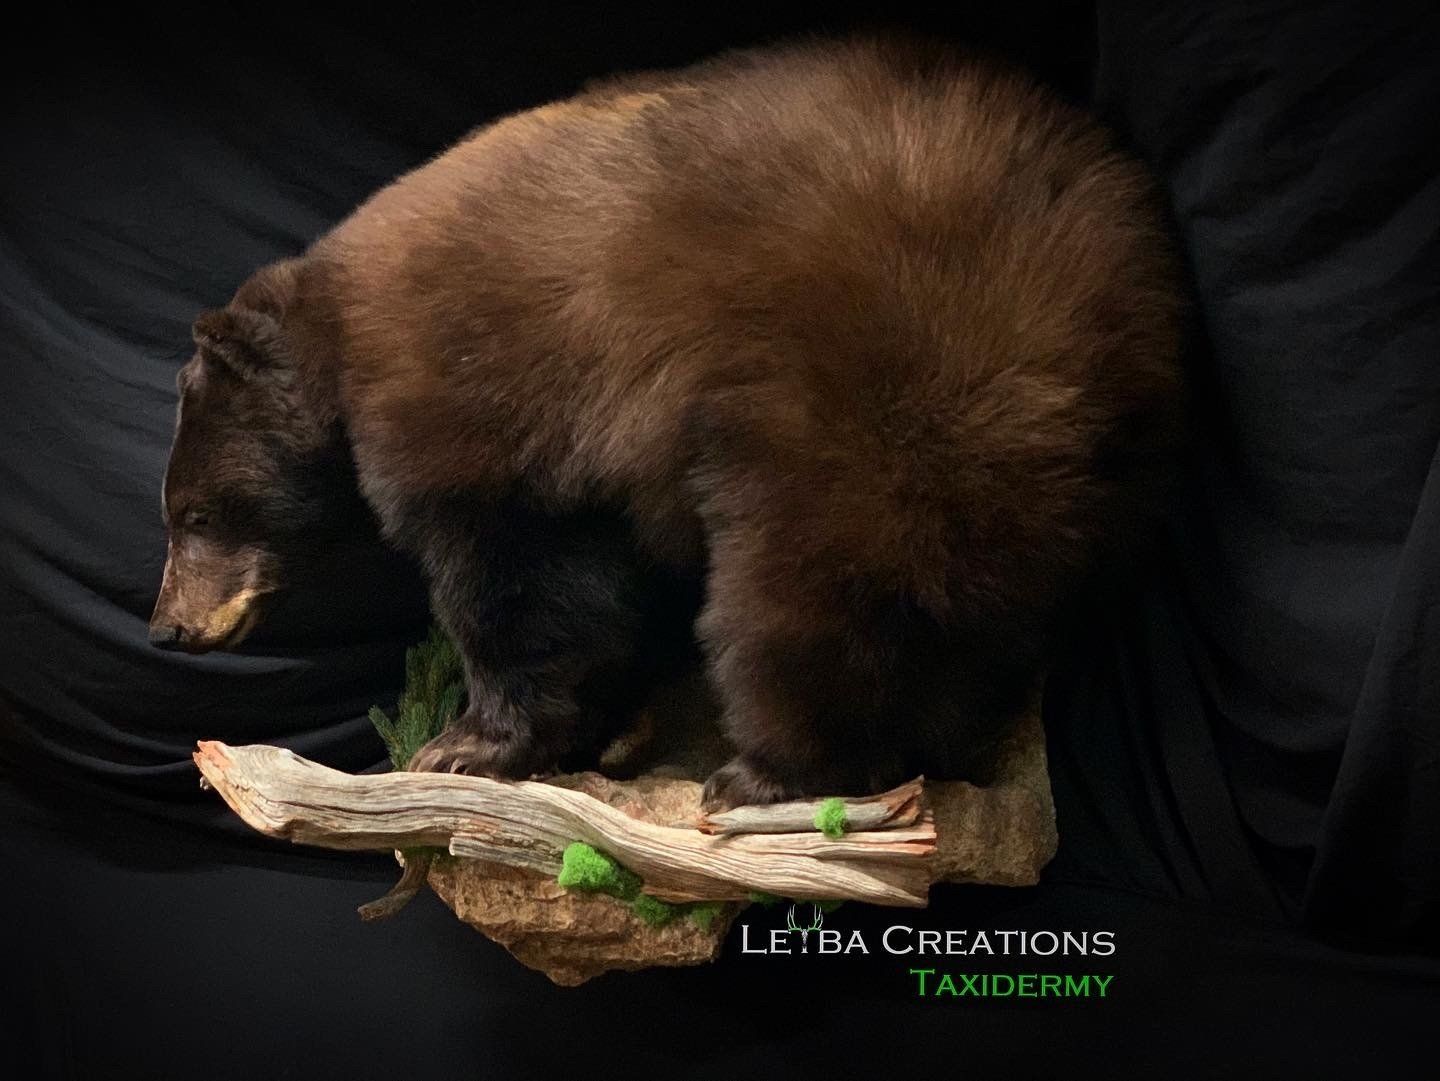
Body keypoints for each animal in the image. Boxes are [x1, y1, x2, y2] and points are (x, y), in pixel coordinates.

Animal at [150, 35, 1185, 809]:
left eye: (194, 513)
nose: (168, 626)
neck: (341, 334)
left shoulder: (479, 392)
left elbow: (516, 576)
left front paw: (468, 742)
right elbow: (601, 586)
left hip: (892, 370)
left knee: (818, 571)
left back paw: (769, 768)